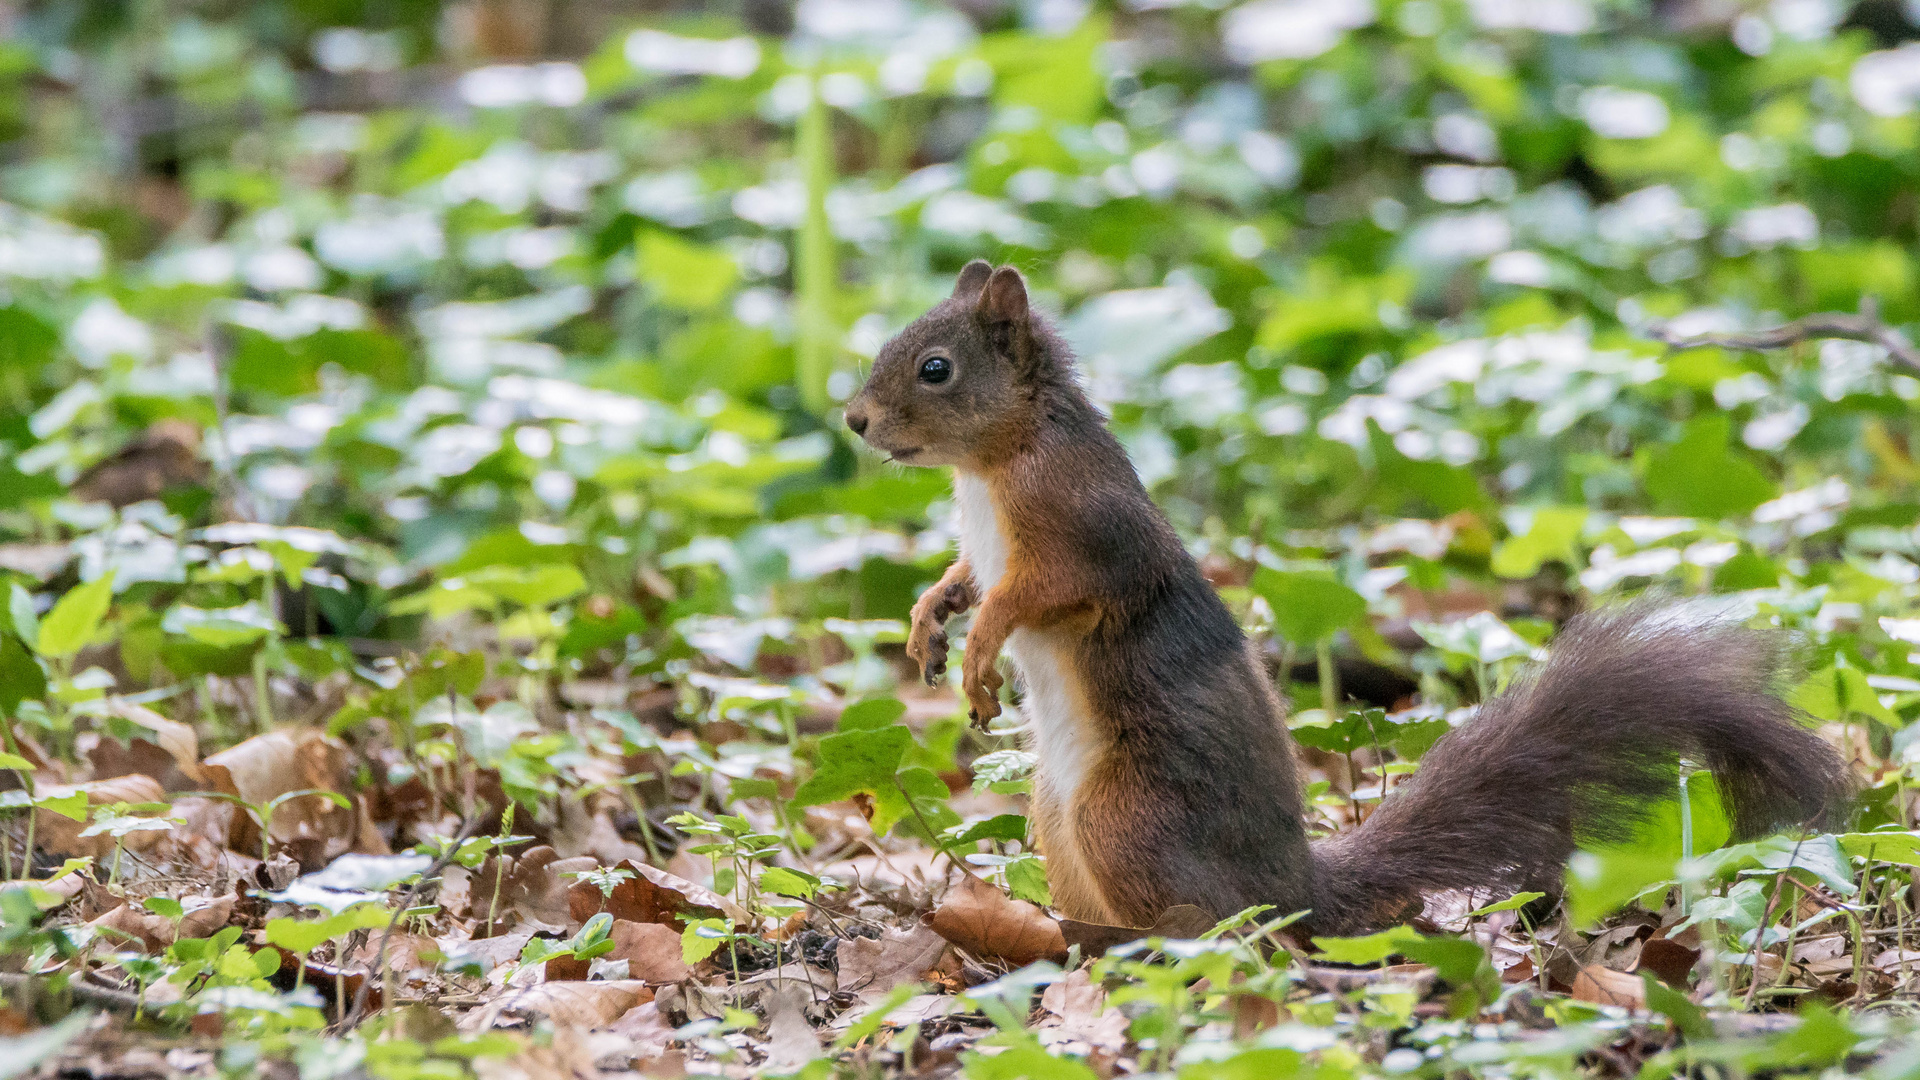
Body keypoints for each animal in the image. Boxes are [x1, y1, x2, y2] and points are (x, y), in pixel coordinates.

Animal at [844, 261, 1858, 933]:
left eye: (935, 368)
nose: (854, 421)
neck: (993, 465)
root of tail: (1294, 886)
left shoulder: (1087, 531)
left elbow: (1041, 593)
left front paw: (980, 649)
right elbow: (967, 577)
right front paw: (930, 618)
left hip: (1125, 817)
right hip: (1058, 821)